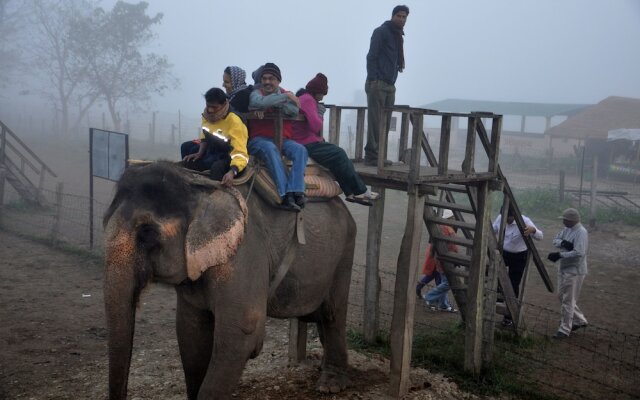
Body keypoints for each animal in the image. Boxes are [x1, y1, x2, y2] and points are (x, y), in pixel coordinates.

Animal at [102, 161, 358, 398]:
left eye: (147, 233)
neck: (198, 187)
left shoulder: (245, 250)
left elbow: (243, 330)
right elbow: (190, 330)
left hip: (344, 251)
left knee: (332, 313)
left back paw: (330, 385)